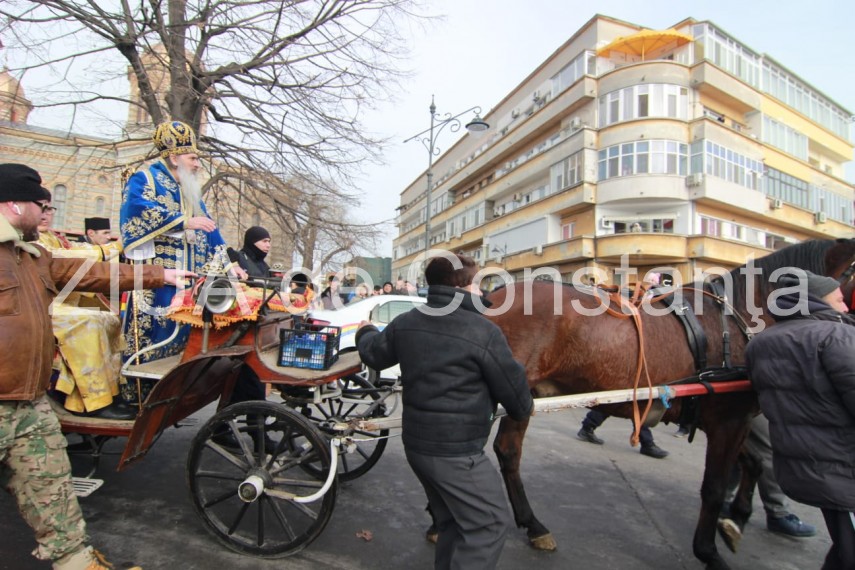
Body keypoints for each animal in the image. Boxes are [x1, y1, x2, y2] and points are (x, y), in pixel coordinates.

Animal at [485, 238, 855, 570]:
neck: (740, 319)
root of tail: (492, 297)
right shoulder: (729, 421)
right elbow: (714, 486)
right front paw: (708, 550)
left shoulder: (732, 419)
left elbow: (753, 464)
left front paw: (735, 519)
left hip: (526, 395)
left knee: (508, 451)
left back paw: (533, 525)